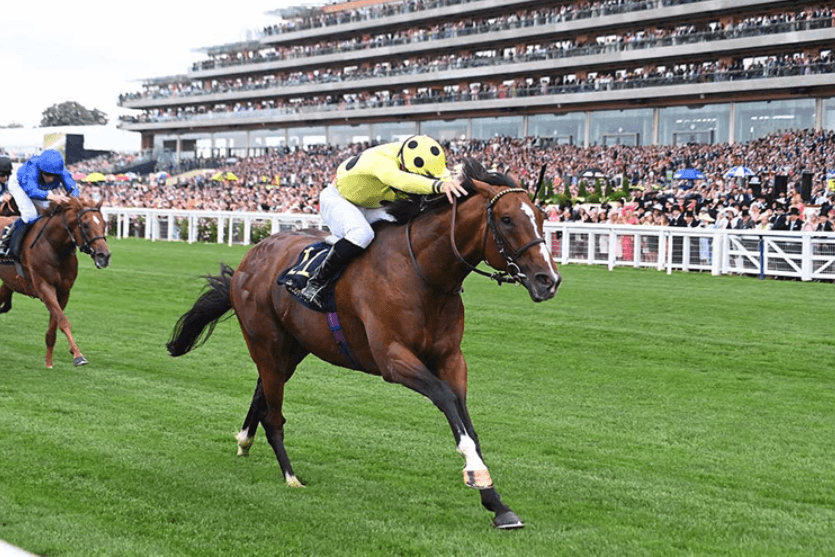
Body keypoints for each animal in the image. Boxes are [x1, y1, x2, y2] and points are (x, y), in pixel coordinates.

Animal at [0, 197, 111, 368]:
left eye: (104, 223)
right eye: (85, 225)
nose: (104, 256)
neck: (54, 246)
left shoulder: (63, 292)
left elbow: (53, 327)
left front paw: (49, 364)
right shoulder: (45, 288)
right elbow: (63, 321)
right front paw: (78, 355)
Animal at [167, 158, 561, 529]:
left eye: (542, 216)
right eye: (507, 219)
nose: (549, 280)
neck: (423, 274)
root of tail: (250, 258)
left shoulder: (451, 358)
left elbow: (466, 420)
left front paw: (496, 503)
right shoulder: (392, 358)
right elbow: (446, 399)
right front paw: (477, 476)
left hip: (292, 347)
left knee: (262, 391)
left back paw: (245, 440)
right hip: (265, 342)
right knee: (273, 413)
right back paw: (290, 476)